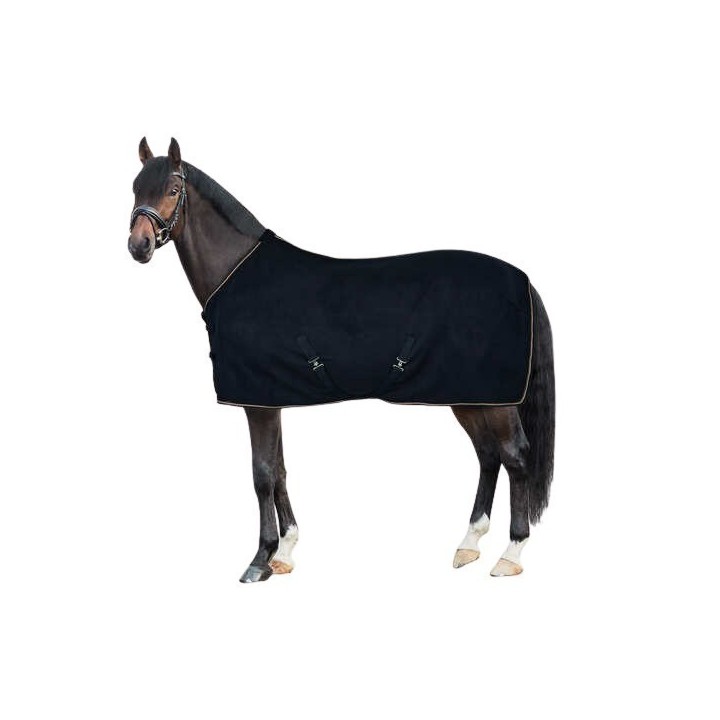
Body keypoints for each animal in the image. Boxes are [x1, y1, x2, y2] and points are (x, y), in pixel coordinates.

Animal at [128, 137, 555, 583]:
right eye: (134, 189)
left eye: (173, 190)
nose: (139, 246)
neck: (237, 273)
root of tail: (523, 280)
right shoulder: (271, 398)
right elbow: (280, 470)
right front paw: (285, 552)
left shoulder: (257, 402)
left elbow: (262, 474)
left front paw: (260, 559)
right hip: (468, 396)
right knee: (488, 456)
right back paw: (469, 544)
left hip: (496, 400)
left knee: (516, 457)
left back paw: (511, 554)